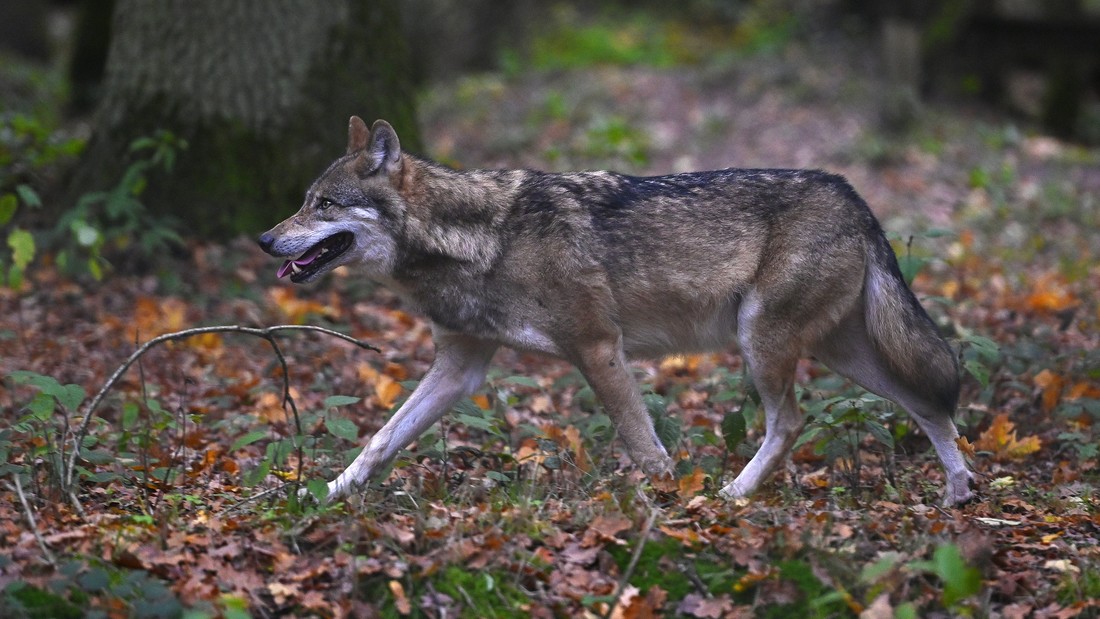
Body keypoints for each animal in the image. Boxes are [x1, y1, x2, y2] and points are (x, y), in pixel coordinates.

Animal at [261, 116, 976, 507]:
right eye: (303, 201)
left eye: (323, 205)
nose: (266, 239)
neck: (480, 239)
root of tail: (850, 191)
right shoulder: (460, 367)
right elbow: (380, 440)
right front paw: (316, 500)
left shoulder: (599, 348)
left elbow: (645, 446)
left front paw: (668, 507)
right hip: (843, 352)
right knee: (929, 402)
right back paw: (959, 494)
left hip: (765, 341)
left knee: (793, 422)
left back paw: (732, 497)